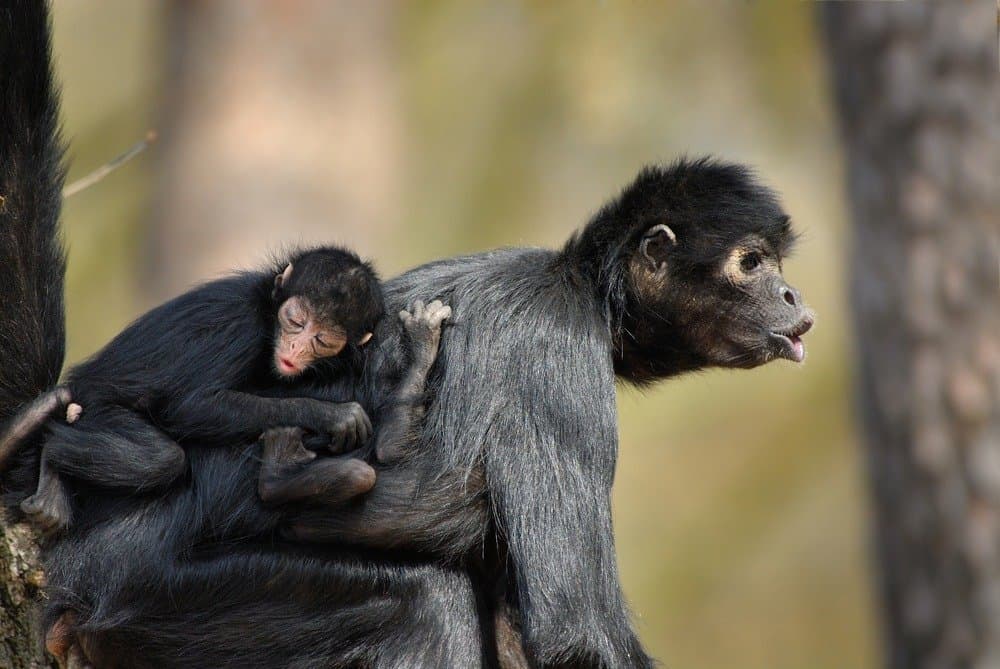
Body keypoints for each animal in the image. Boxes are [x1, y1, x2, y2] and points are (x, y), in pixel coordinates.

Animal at [7, 245, 450, 532]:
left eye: (323, 339)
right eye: (295, 321)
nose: (295, 349)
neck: (267, 309)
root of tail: (82, 381)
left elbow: (389, 451)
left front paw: (421, 347)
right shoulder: (243, 326)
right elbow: (190, 406)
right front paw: (330, 414)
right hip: (100, 409)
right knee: (160, 459)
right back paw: (53, 456)